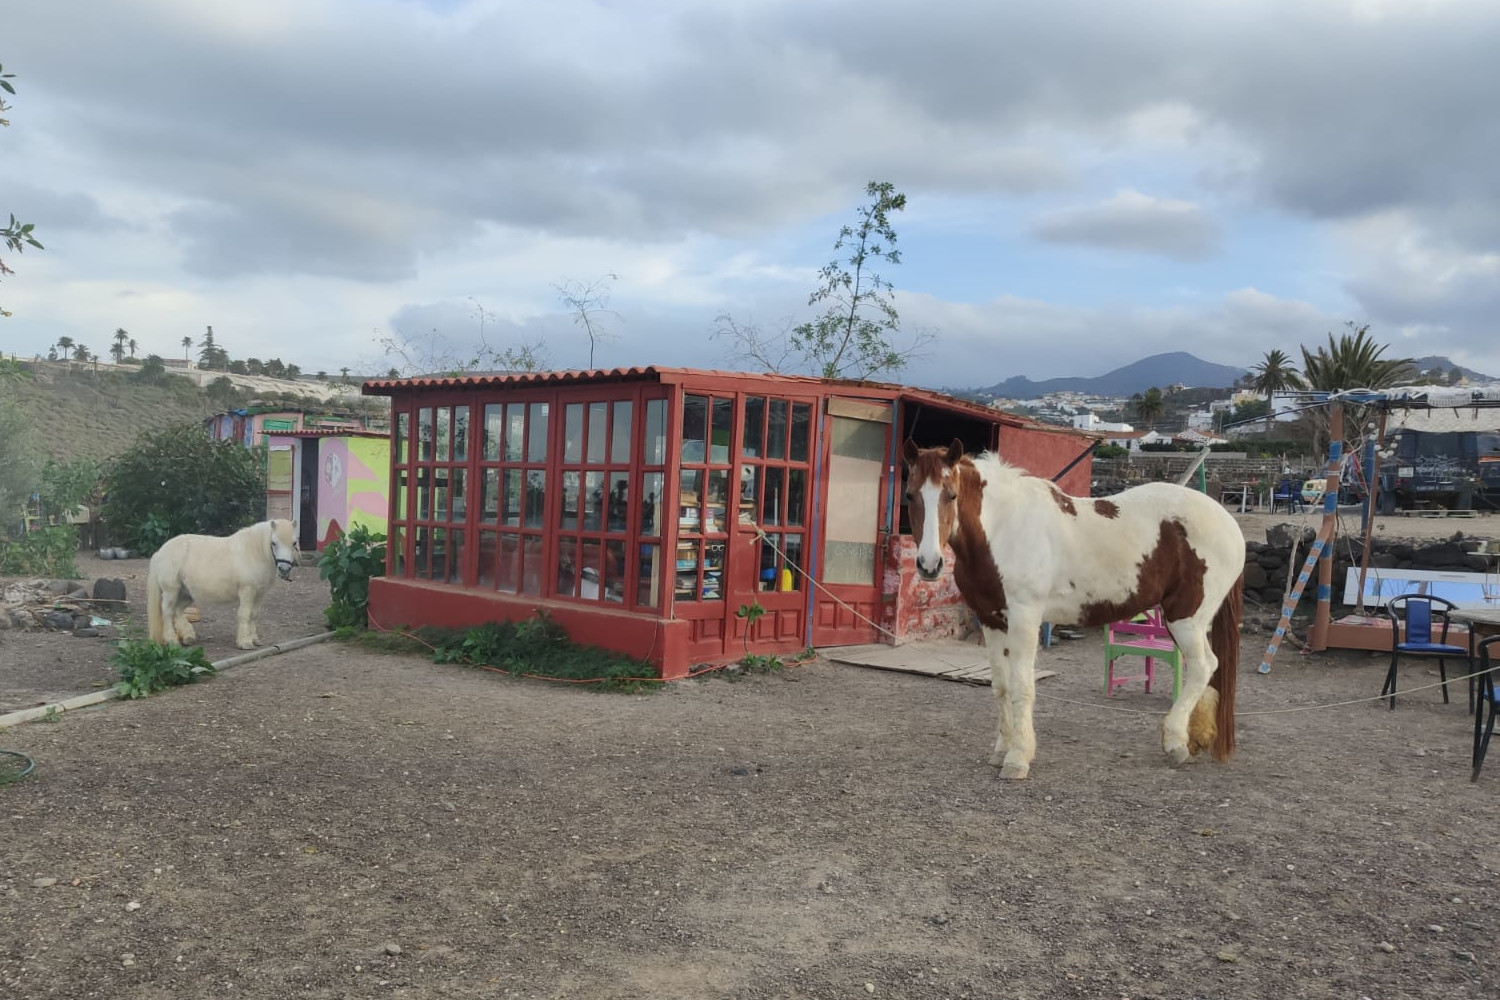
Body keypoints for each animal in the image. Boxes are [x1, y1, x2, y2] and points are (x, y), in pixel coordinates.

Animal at [147, 519, 300, 650]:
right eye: (273, 543)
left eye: (294, 543)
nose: (284, 569)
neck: (254, 552)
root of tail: (160, 552)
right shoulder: (247, 591)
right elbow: (245, 614)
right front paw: (245, 642)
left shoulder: (260, 593)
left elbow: (254, 614)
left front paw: (254, 639)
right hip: (171, 591)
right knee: (168, 611)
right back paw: (172, 640)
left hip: (186, 593)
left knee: (178, 610)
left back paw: (188, 636)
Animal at [902, 439, 1244, 779]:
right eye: (910, 494)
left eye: (951, 495)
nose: (929, 565)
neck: (1003, 529)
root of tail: (1228, 523)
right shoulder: (991, 619)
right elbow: (1001, 686)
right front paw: (1001, 750)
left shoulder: (1025, 618)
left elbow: (1021, 686)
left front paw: (1018, 758)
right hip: (1188, 622)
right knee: (1208, 667)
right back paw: (1196, 737)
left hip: (1186, 617)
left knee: (1202, 667)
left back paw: (1174, 742)